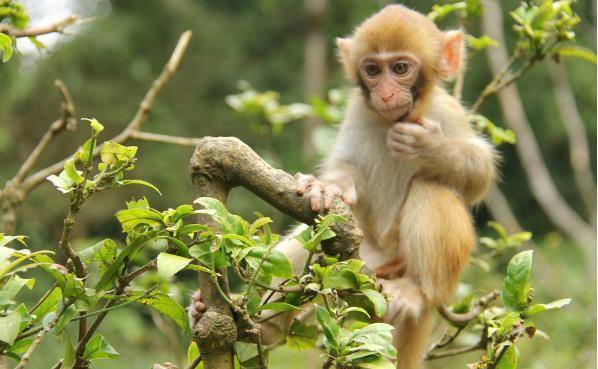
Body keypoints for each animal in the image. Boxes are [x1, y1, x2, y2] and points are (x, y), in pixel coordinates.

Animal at [192, 5, 496, 368]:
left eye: (401, 68)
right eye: (372, 70)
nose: (386, 93)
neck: (390, 121)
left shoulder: (445, 111)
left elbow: (479, 174)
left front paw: (427, 147)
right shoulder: (357, 113)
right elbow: (343, 167)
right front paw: (325, 187)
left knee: (431, 186)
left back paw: (417, 291)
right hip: (365, 263)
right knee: (314, 239)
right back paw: (258, 328)